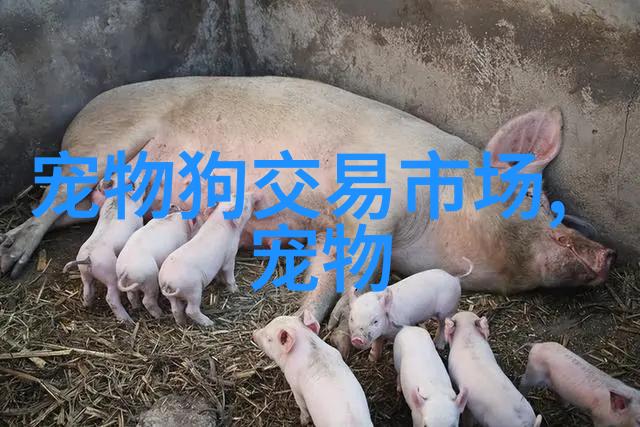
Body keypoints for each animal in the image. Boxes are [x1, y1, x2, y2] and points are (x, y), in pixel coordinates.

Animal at [62, 180, 143, 322]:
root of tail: (88, 258)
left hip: (84, 273)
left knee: (87, 289)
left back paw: (87, 305)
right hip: (110, 275)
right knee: (110, 298)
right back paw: (128, 321)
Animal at [158, 193, 255, 326]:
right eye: (244, 203)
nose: (252, 194)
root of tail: (167, 281)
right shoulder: (230, 257)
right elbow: (229, 275)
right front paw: (235, 290)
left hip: (172, 296)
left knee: (176, 309)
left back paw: (182, 323)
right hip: (193, 290)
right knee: (191, 310)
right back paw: (209, 323)